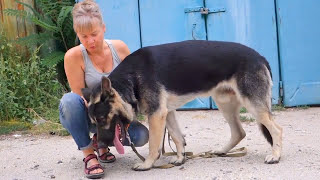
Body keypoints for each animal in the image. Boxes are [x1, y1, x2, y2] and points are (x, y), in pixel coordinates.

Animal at [82, 40, 282, 171]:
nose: (100, 145)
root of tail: (260, 57)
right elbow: (177, 137)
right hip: (224, 104)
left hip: (252, 105)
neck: (129, 79)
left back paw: (275, 156)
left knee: (276, 129)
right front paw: (180, 158)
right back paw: (221, 151)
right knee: (239, 132)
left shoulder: (156, 115)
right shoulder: (167, 113)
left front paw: (147, 164)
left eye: (102, 118)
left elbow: (154, 144)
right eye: (93, 122)